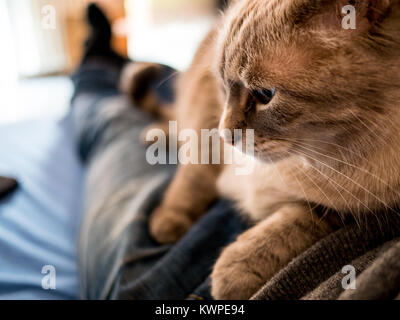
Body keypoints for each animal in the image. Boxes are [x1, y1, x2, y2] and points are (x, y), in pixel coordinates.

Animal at [122, 0, 400, 300]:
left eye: (265, 95)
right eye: (224, 86)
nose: (226, 135)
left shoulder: (355, 211)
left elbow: (293, 225)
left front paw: (233, 273)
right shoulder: (207, 116)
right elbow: (195, 175)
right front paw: (170, 221)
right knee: (177, 126)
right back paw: (157, 136)